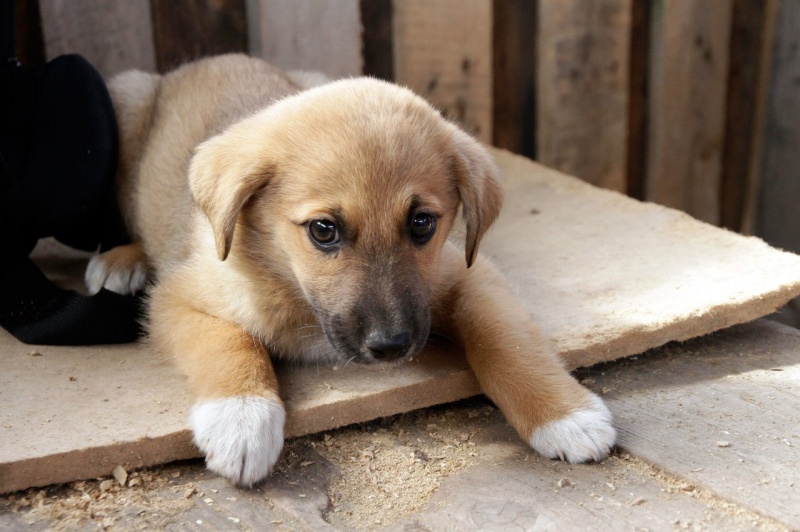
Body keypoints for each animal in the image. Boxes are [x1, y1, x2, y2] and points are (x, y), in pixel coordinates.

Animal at [87, 54, 616, 486]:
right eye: (324, 230)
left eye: (422, 223)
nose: (391, 347)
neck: (291, 285)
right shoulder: (179, 298)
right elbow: (227, 342)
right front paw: (241, 419)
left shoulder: (469, 275)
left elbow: (509, 341)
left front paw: (565, 415)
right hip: (124, 101)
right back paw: (121, 260)